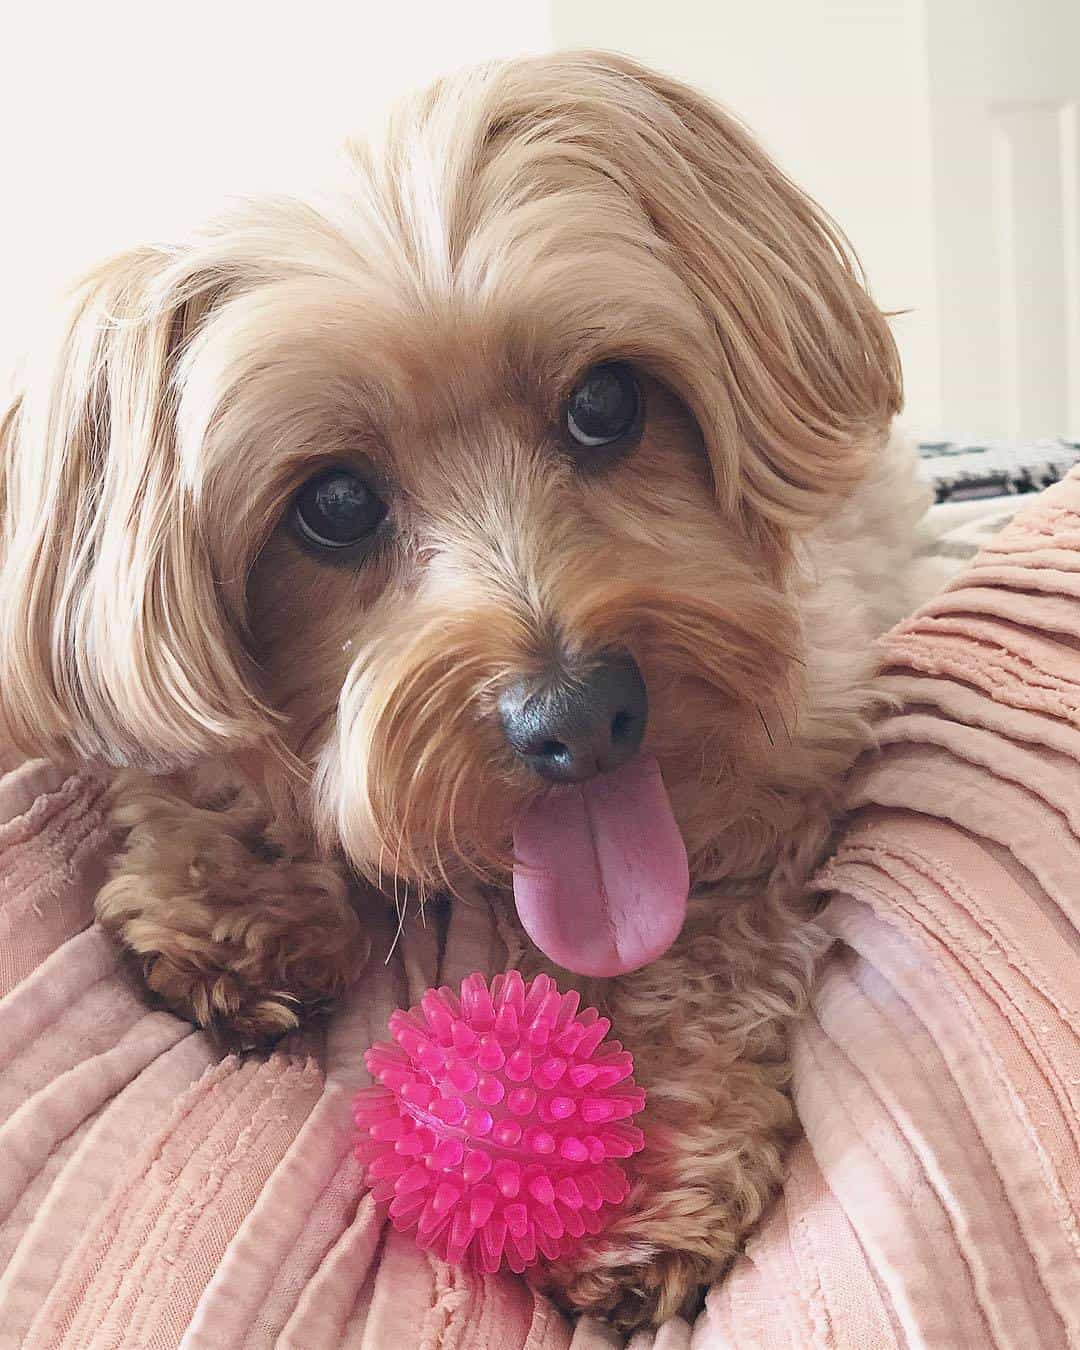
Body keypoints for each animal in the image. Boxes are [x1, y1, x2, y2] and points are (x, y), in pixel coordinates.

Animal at [0, 49, 928, 1328]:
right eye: (333, 504)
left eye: (606, 403)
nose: (581, 718)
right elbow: (215, 762)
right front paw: (237, 897)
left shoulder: (799, 742)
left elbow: (707, 937)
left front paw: (643, 1153)